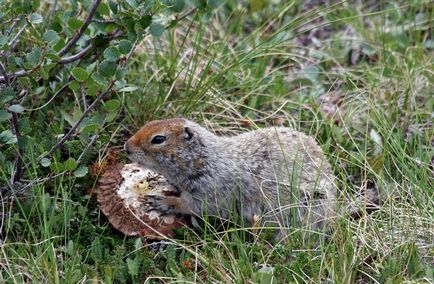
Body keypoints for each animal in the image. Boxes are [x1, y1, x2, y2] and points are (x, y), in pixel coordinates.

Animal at [126, 118, 372, 237]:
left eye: (158, 139)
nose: (126, 147)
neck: (205, 158)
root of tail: (335, 212)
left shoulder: (211, 190)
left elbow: (193, 205)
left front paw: (163, 201)